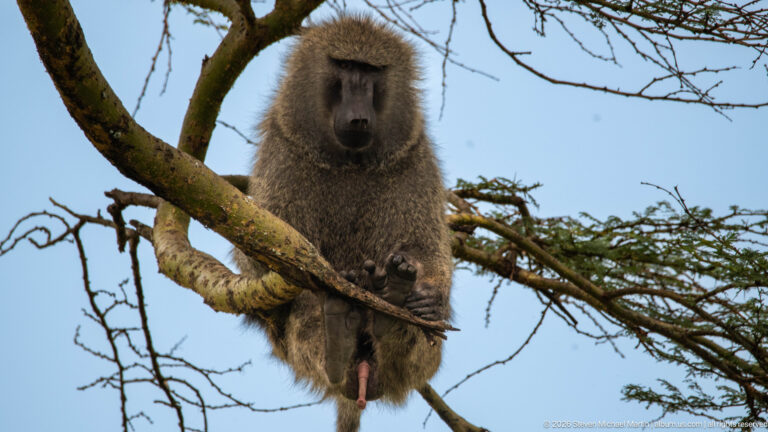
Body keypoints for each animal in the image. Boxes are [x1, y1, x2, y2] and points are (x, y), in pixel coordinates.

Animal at [233, 15, 452, 432]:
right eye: (345, 65)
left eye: (372, 71)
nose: (359, 114)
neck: (350, 161)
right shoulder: (283, 152)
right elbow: (255, 261)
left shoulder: (414, 156)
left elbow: (427, 245)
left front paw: (429, 299)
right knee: (307, 304)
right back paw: (338, 330)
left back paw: (395, 304)